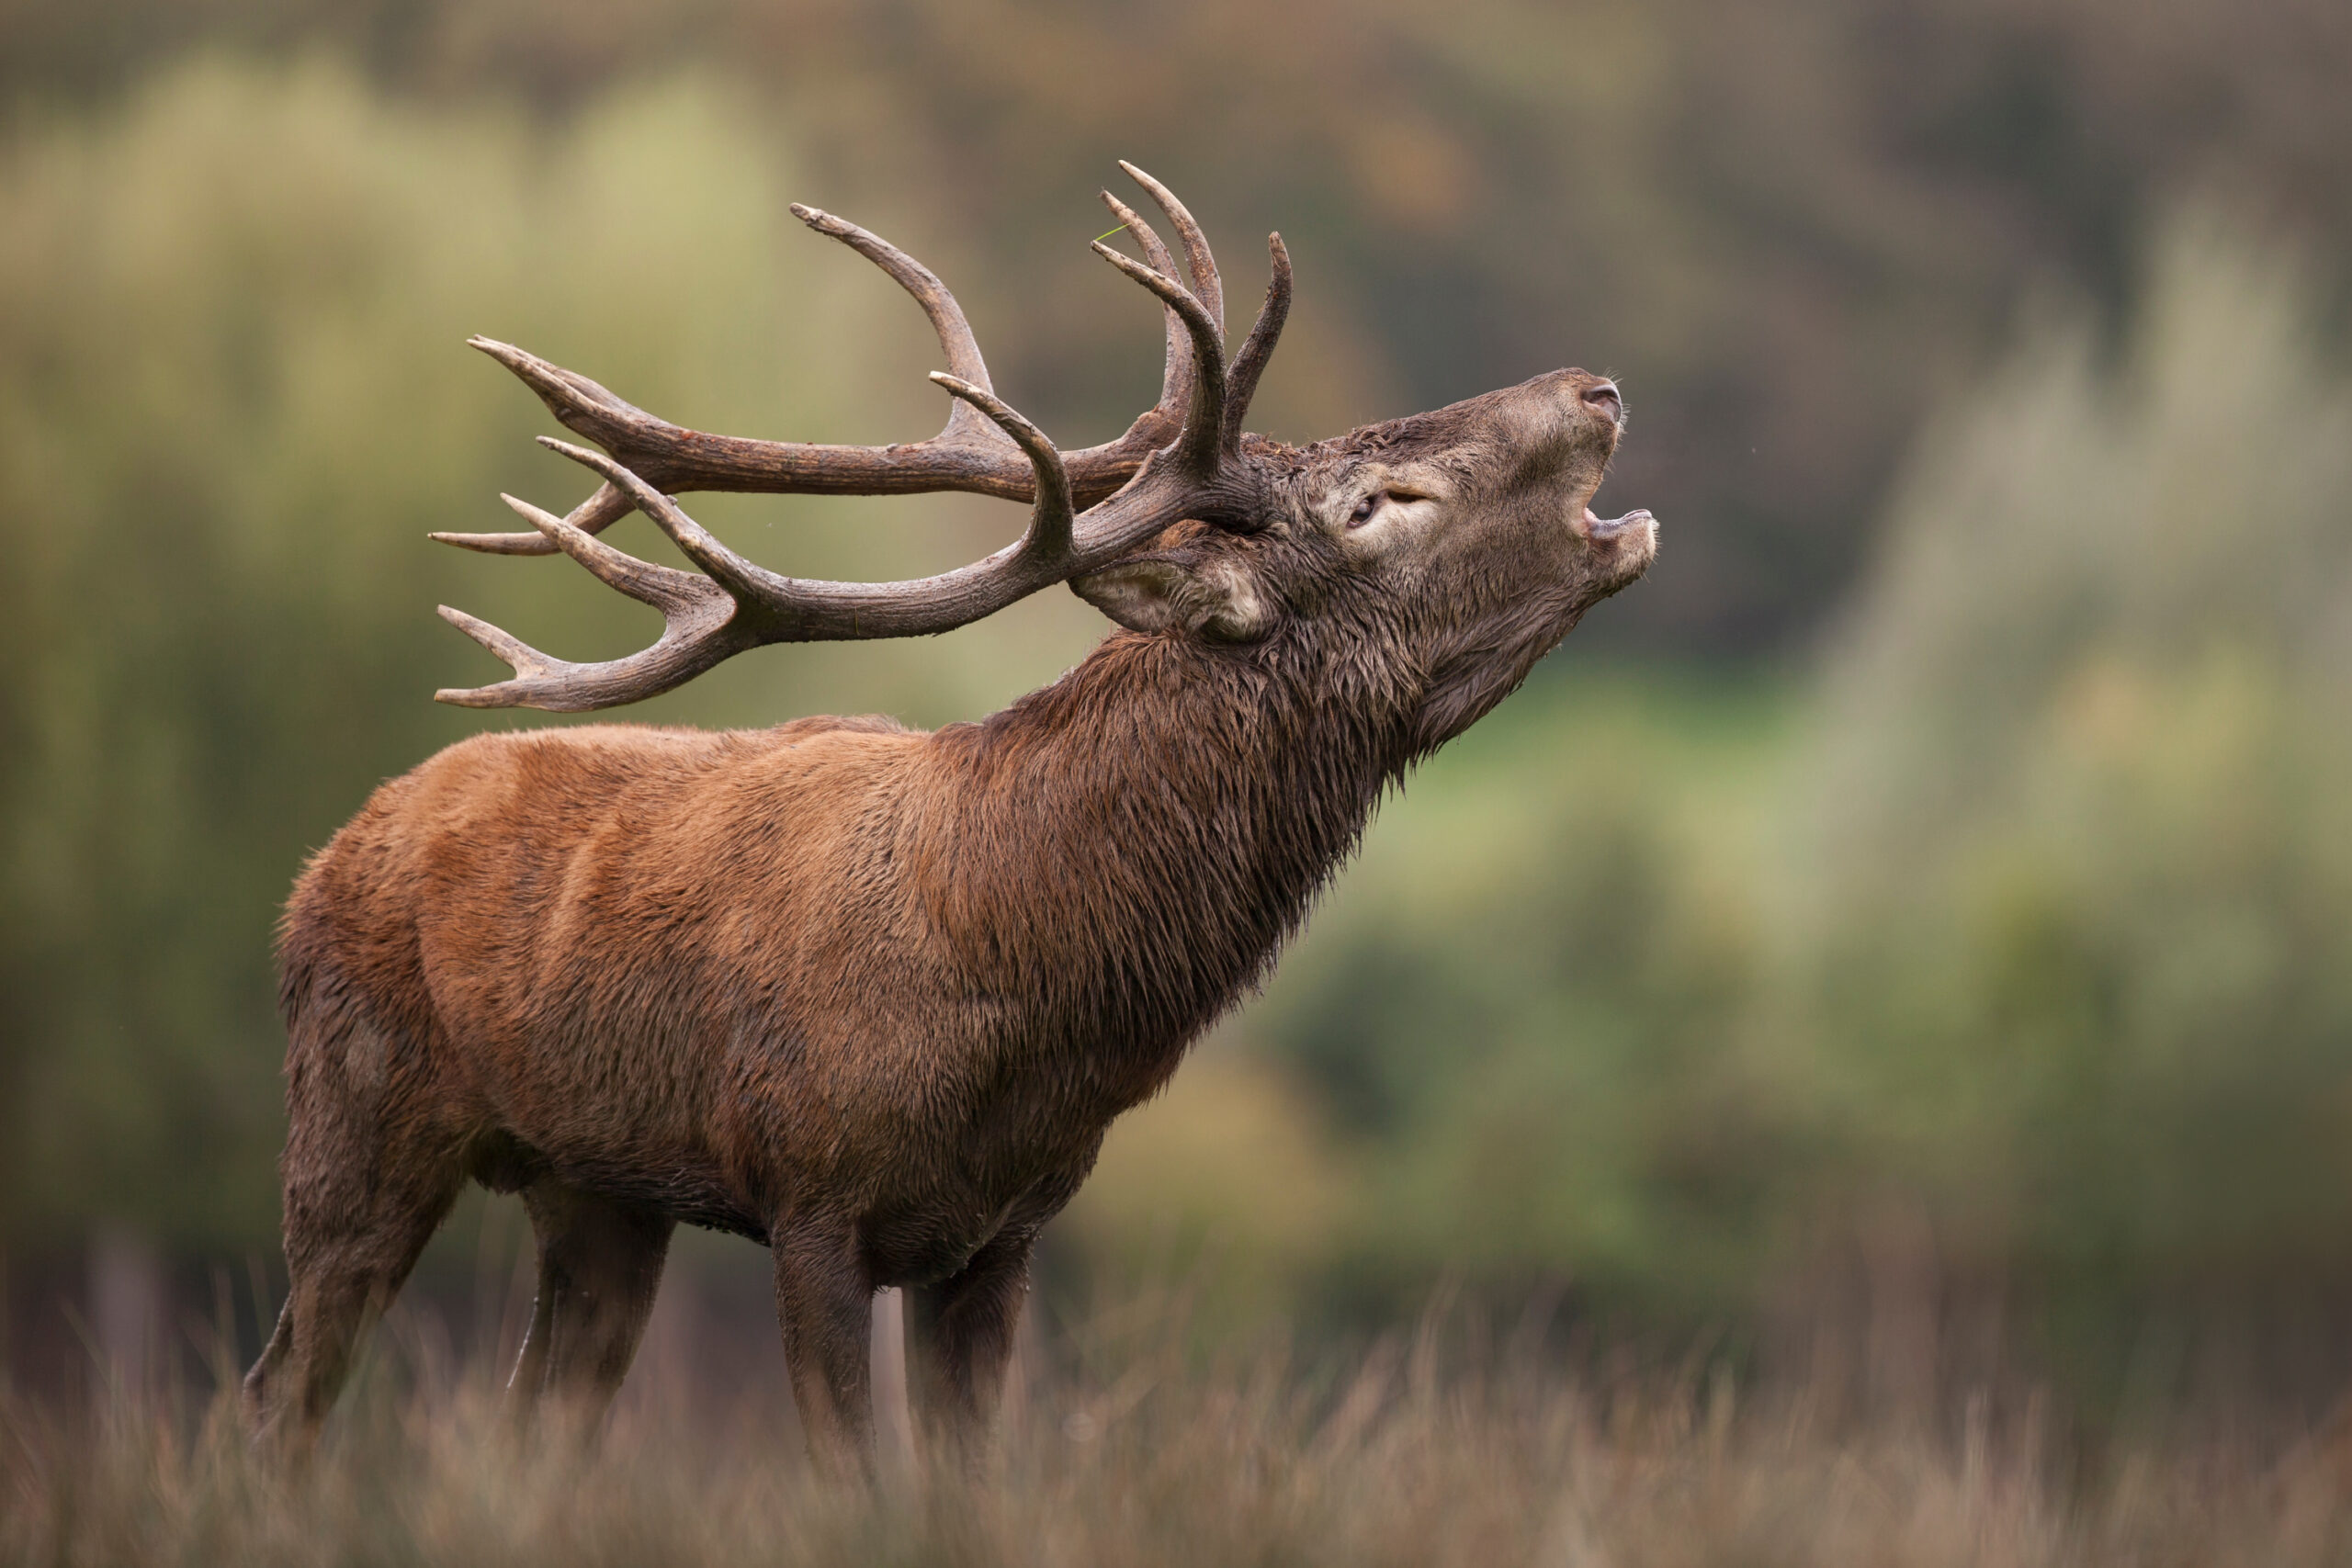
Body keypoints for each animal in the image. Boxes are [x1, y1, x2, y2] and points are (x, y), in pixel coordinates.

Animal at [243, 169, 1656, 1476]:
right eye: (1378, 503)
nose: (1596, 389)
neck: (1024, 990)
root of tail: (325, 860)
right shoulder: (811, 1198)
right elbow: (852, 1482)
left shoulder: (1001, 1234)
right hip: (353, 1119)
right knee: (280, 1393)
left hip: (593, 1192)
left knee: (530, 1423)